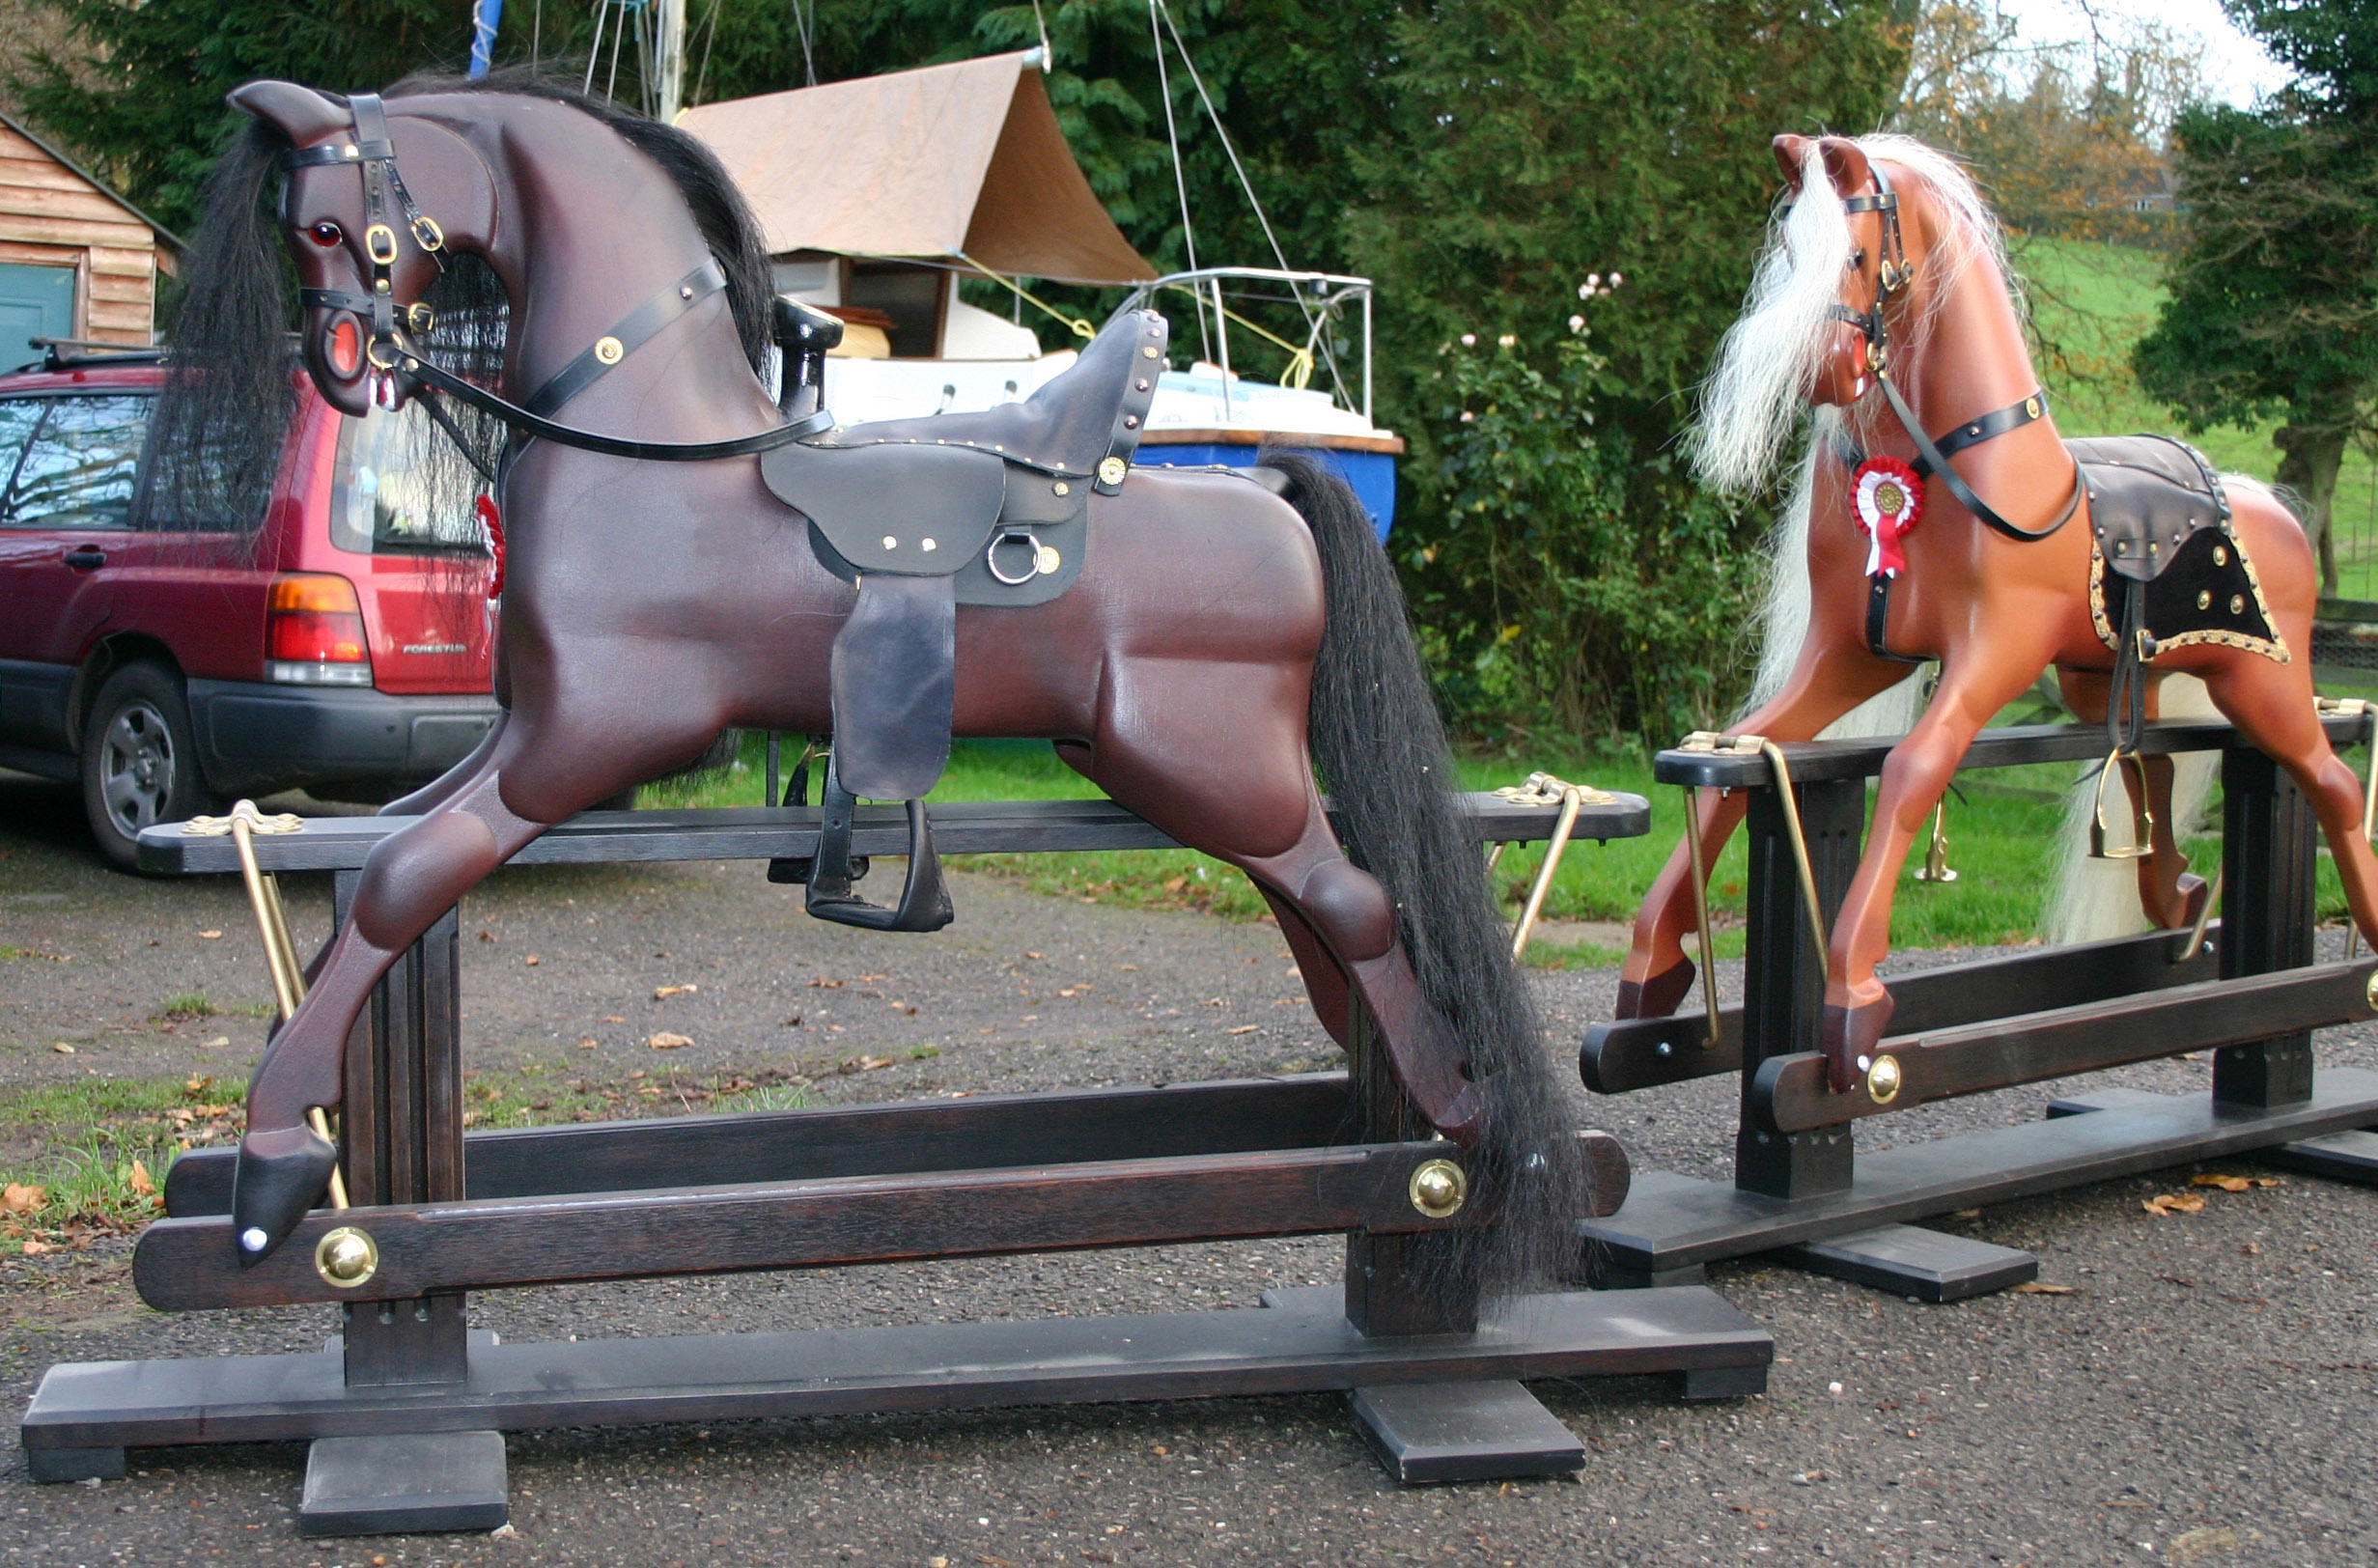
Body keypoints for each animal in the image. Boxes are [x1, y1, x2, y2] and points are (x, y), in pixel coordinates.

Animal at [172, 73, 1579, 1276]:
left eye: (330, 224)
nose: (341, 366)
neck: (647, 448)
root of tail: (1277, 496)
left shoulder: (585, 740)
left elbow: (398, 883)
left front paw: (273, 1152)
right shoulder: (513, 737)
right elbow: (369, 854)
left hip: (1203, 764)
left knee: (1353, 903)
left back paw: (1457, 1112)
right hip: (1194, 774)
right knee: (1317, 905)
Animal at [1614, 132, 2378, 1093]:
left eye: (1855, 256)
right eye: (1787, 252)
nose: (1820, 370)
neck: (1950, 465)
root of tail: (2266, 505)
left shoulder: (1993, 653)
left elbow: (1911, 770)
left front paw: (1854, 997)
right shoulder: (1849, 656)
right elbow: (1740, 749)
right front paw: (1654, 960)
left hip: (2262, 683)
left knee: (2330, 781)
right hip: (2108, 676)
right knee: (2149, 761)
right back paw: (2174, 894)